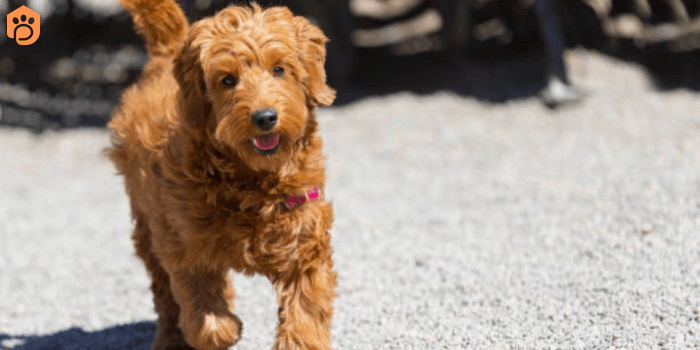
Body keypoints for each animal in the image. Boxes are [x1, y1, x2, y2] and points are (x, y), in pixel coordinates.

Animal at [105, 1, 340, 348]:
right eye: (228, 80)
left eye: (279, 69)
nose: (265, 117)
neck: (252, 179)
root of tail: (169, 48)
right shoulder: (184, 244)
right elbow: (205, 316)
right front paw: (224, 328)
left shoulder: (305, 243)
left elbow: (305, 315)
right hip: (147, 223)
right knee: (164, 292)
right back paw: (170, 338)